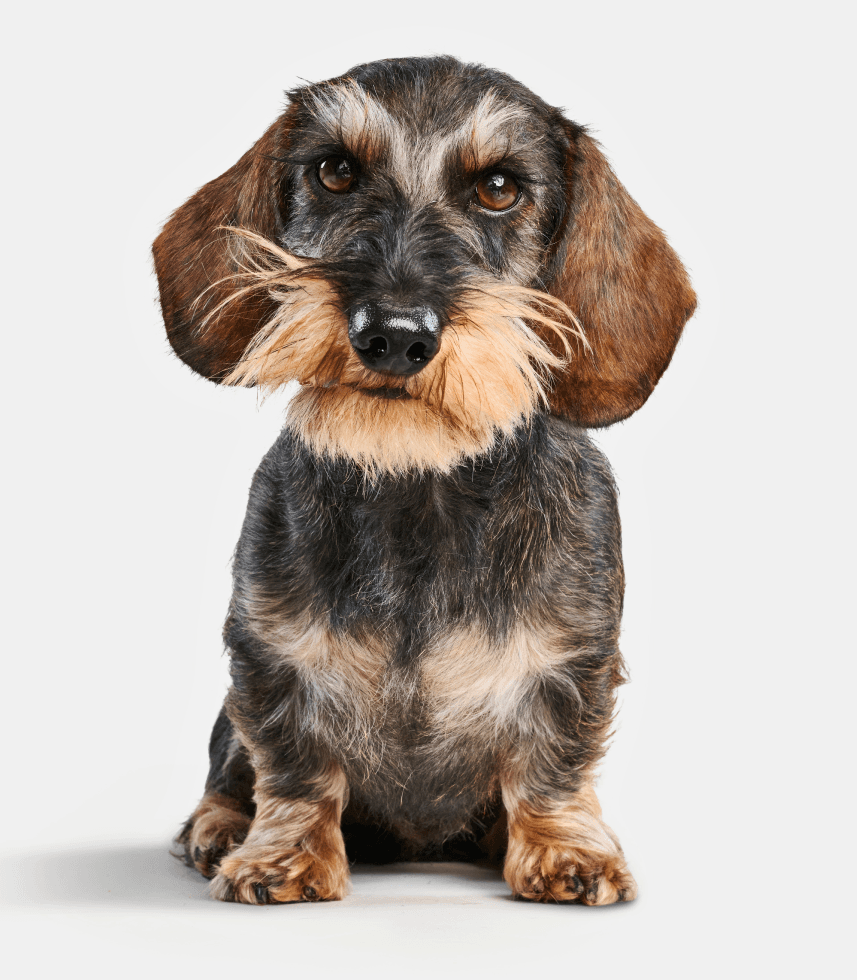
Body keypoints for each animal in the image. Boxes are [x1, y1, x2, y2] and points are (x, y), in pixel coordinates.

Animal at [154, 57, 696, 908]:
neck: (418, 482)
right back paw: (218, 828)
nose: (393, 334)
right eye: (335, 171)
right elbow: (293, 764)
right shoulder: (268, 656)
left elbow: (552, 763)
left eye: (499, 187)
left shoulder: (573, 662)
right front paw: (282, 855)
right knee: (227, 773)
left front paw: (565, 850)